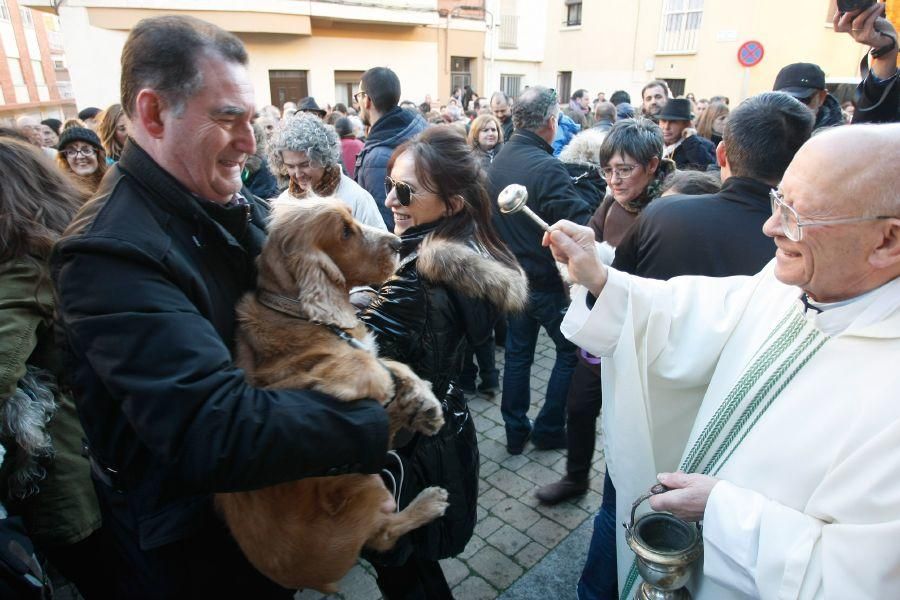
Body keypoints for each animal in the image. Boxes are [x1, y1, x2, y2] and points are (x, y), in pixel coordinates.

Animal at [214, 197, 446, 592]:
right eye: (345, 232)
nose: (399, 244)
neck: (301, 314)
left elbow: (389, 361)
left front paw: (424, 402)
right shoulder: (288, 385)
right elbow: (368, 366)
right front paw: (398, 394)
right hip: (364, 487)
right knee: (384, 533)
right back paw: (428, 501)